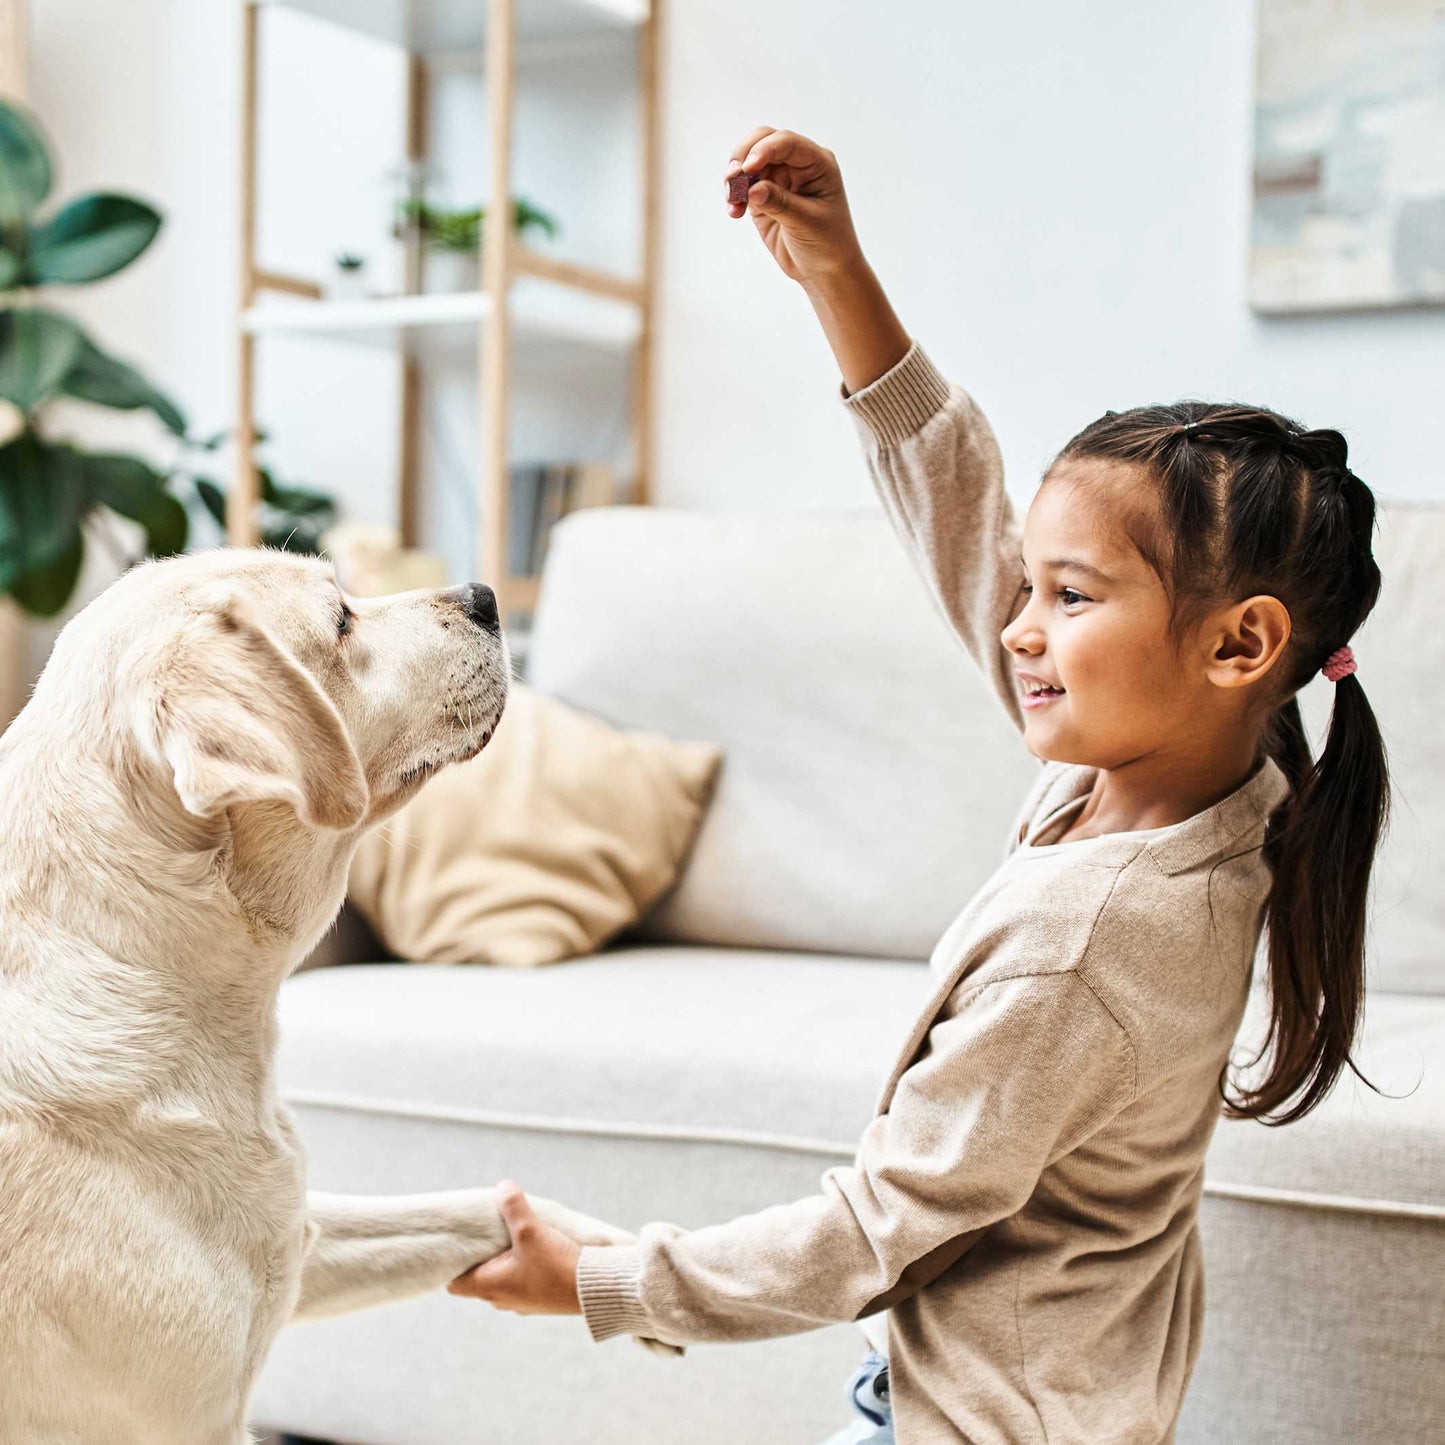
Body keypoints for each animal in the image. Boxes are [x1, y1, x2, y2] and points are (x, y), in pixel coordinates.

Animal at [0, 549, 644, 1445]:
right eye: (340, 620)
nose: (482, 595)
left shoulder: (296, 1234)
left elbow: (466, 1206)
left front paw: (630, 1257)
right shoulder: (190, 1418)